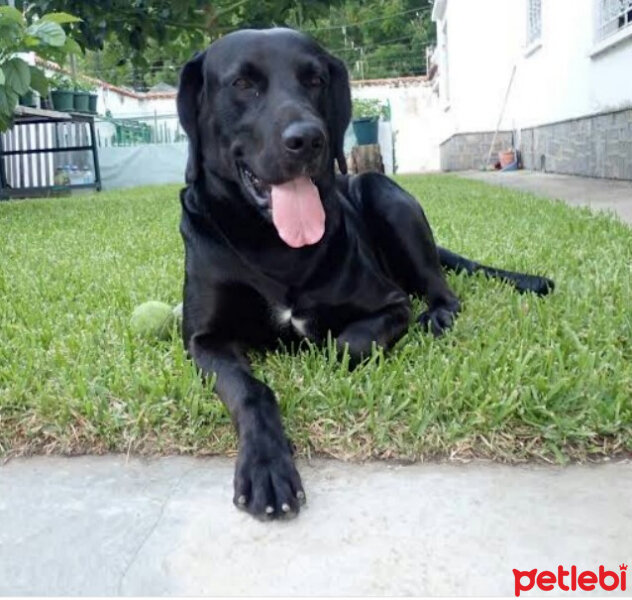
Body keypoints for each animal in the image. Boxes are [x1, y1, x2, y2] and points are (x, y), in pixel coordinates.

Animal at [177, 28, 552, 516]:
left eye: (315, 79)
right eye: (242, 83)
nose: (309, 140)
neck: (273, 244)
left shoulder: (391, 304)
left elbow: (345, 345)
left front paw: (319, 345)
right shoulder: (204, 340)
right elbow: (248, 388)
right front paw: (265, 464)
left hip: (382, 192)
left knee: (443, 289)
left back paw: (439, 315)